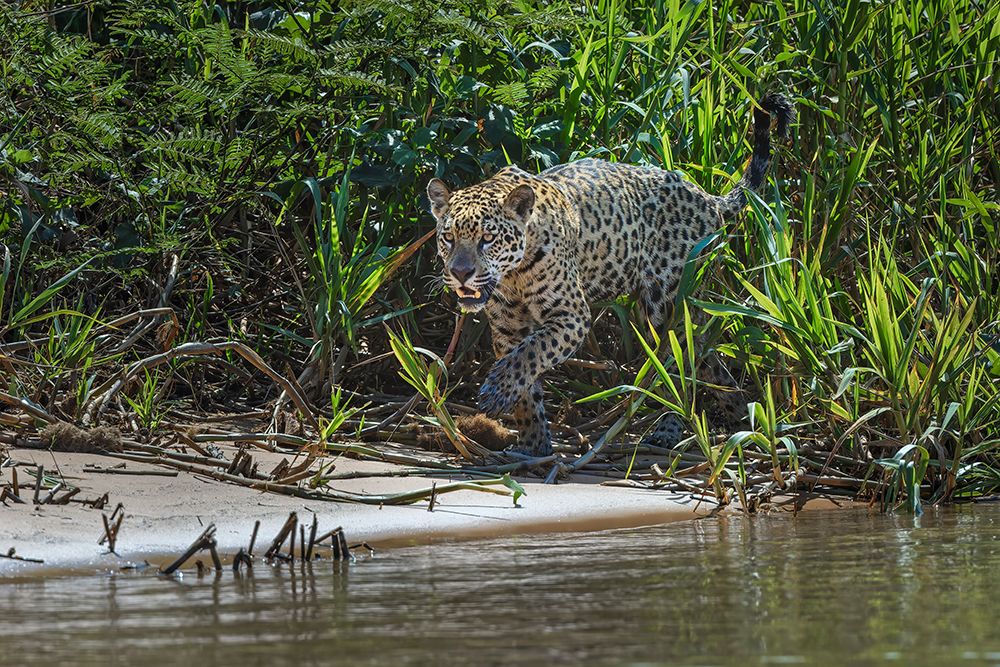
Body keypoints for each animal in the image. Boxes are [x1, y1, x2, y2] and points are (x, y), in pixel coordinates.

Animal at [426, 93, 794, 456]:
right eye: (449, 238)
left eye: (488, 239)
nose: (460, 273)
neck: (514, 274)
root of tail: (708, 198)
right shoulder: (507, 326)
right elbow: (527, 382)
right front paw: (533, 445)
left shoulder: (571, 316)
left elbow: (531, 353)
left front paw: (497, 393)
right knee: (707, 359)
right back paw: (743, 414)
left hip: (667, 306)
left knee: (678, 364)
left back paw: (669, 429)